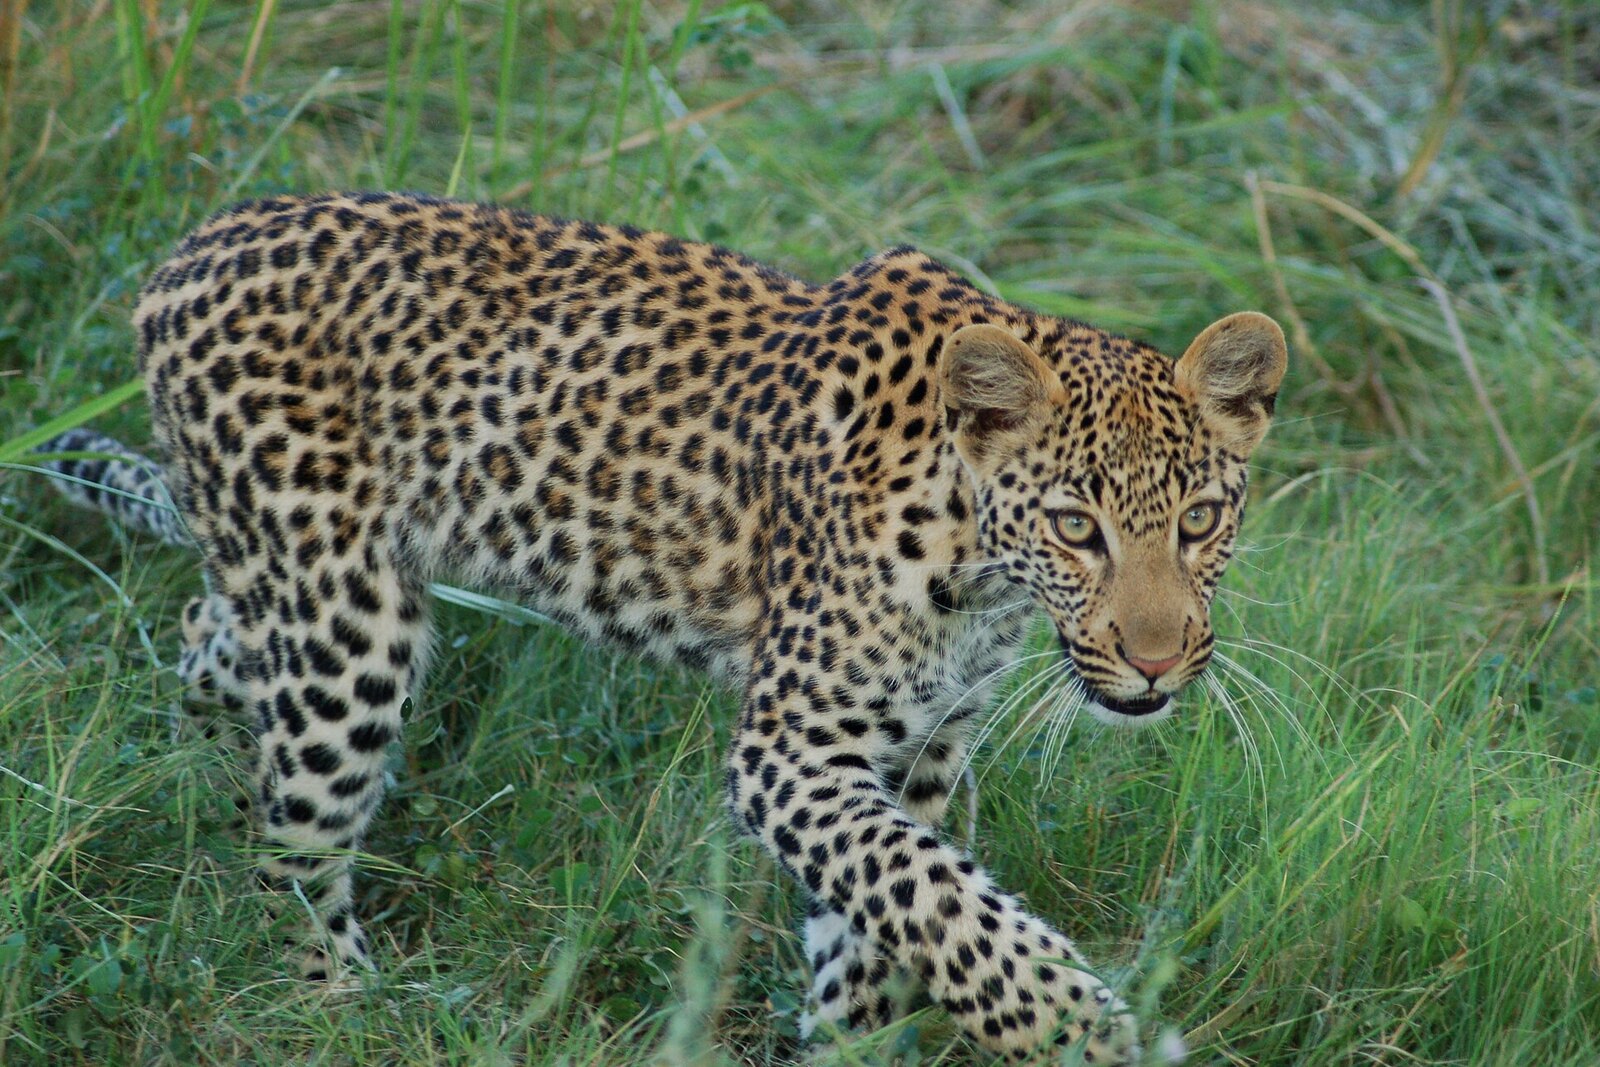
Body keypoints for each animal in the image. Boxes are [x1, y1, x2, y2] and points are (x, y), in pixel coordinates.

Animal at [37, 191, 1287, 1063]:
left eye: (1200, 517)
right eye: (1077, 525)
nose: (1156, 660)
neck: (979, 568)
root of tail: (191, 247)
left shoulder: (916, 755)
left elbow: (888, 927)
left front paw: (843, 1044)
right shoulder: (792, 751)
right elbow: (949, 909)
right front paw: (1088, 1027)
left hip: (293, 588)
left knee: (213, 633)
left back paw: (203, 737)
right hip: (347, 632)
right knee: (294, 850)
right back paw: (348, 1002)